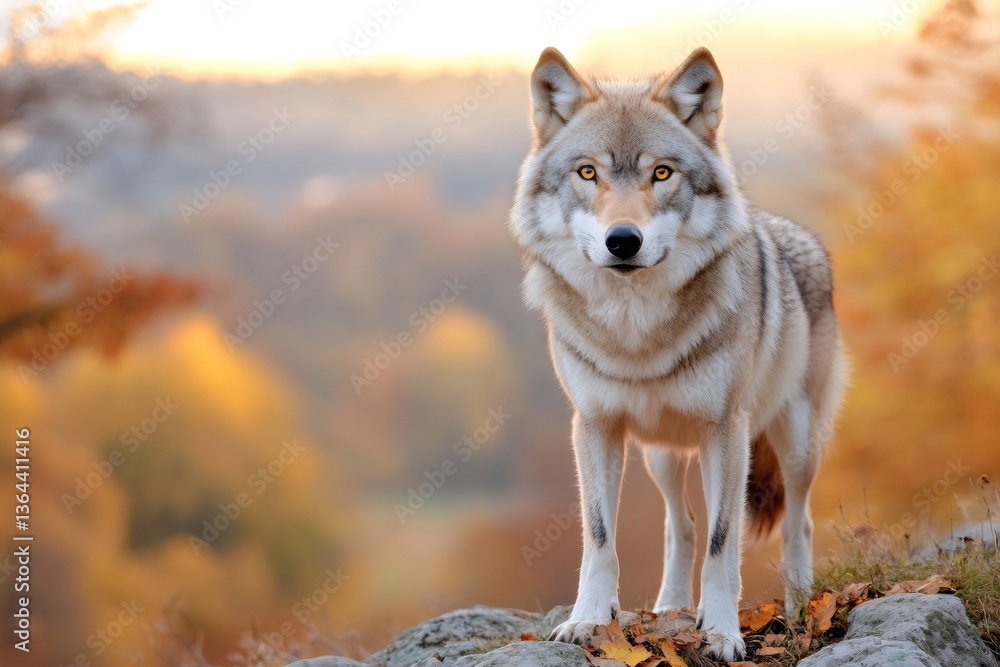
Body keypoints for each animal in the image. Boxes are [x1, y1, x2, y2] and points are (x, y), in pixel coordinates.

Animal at [508, 46, 846, 660]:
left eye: (661, 173)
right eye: (587, 172)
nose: (623, 240)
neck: (636, 331)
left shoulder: (727, 430)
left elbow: (722, 542)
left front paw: (721, 632)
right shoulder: (594, 426)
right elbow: (601, 537)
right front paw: (587, 621)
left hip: (795, 443)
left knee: (797, 524)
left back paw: (800, 609)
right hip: (661, 455)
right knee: (679, 524)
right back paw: (668, 609)